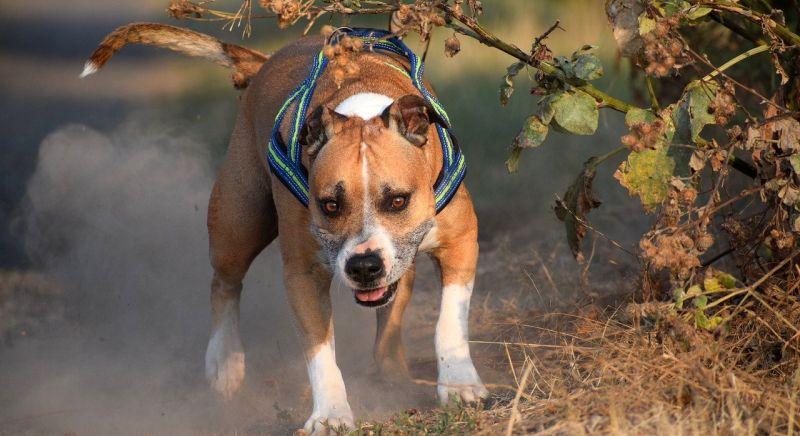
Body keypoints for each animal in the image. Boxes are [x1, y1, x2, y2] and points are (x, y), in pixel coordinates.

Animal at [86, 24, 488, 436]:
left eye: (397, 201)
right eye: (329, 205)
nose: (363, 267)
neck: (361, 105)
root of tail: (266, 61)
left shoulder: (461, 243)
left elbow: (449, 321)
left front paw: (459, 383)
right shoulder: (303, 274)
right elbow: (319, 350)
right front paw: (330, 413)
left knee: (392, 308)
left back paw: (391, 371)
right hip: (238, 223)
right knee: (225, 284)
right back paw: (225, 361)